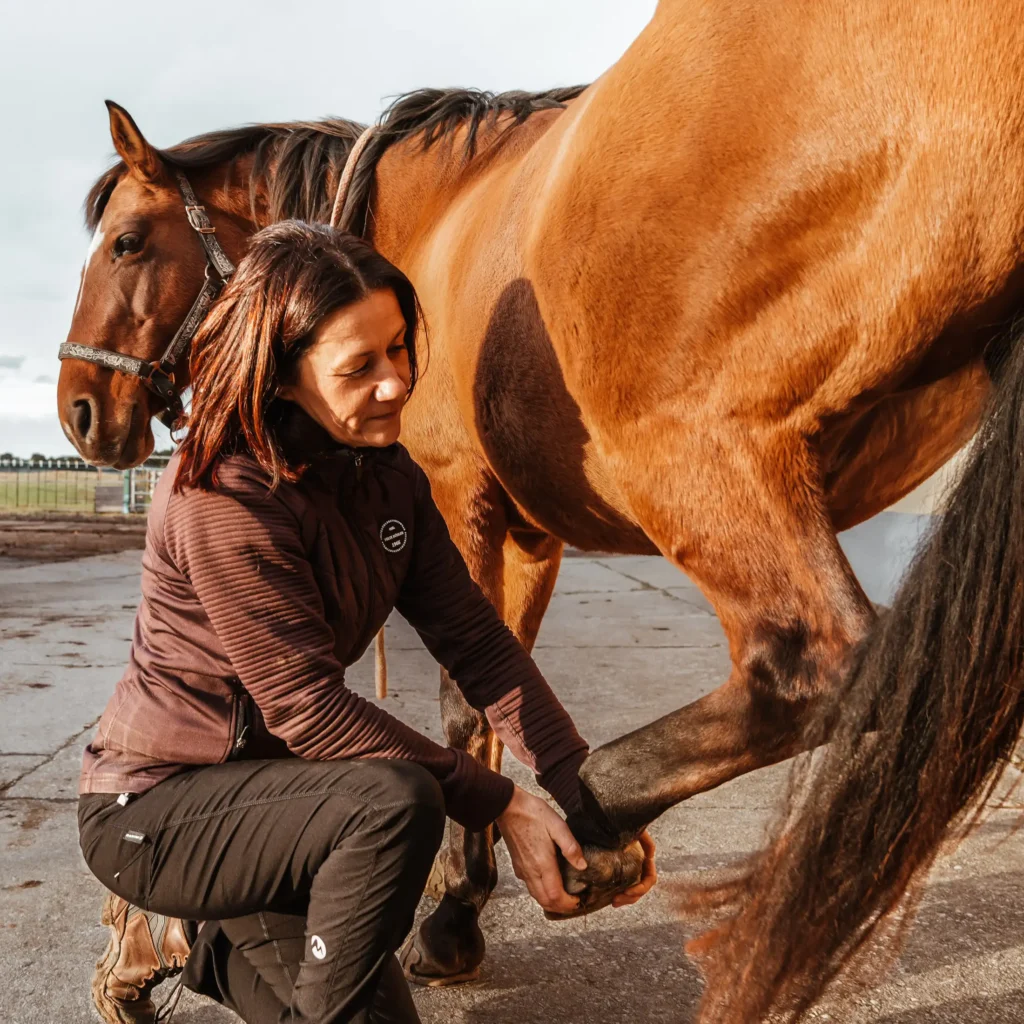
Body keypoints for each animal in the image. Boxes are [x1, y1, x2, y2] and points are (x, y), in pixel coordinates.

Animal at [57, 0, 1024, 991]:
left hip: (695, 453)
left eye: (128, 242)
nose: (80, 408)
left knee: (806, 666)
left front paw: (456, 911)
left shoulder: (459, 504)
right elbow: (500, 683)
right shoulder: (528, 537)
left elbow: (463, 706)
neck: (432, 219)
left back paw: (592, 826)